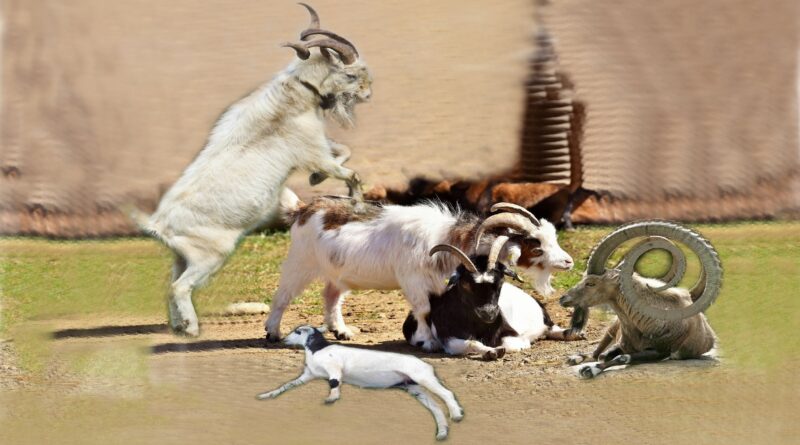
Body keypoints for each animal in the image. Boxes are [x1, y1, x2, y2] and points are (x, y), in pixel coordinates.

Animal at [128, 4, 372, 336]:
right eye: (349, 73)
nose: (368, 92)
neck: (294, 96)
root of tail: (158, 225)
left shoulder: (320, 148)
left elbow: (345, 151)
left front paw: (316, 179)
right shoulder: (314, 151)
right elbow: (349, 171)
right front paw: (353, 200)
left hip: (182, 257)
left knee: (170, 284)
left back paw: (179, 326)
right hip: (210, 256)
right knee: (180, 287)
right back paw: (192, 329)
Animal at [257, 325, 463, 441]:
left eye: (298, 331)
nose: (283, 339)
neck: (317, 349)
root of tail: (425, 363)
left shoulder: (334, 368)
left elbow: (334, 383)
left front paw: (332, 398)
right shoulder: (307, 375)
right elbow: (285, 386)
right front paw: (267, 395)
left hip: (423, 378)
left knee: (447, 394)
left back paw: (456, 414)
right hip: (413, 387)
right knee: (435, 408)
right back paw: (442, 433)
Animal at [265, 199, 575, 350]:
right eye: (535, 244)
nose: (568, 262)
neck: (447, 239)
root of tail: (303, 210)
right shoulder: (413, 280)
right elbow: (424, 310)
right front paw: (428, 341)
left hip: (338, 273)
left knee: (331, 294)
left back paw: (341, 330)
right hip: (300, 262)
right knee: (282, 295)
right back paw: (272, 332)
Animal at [559, 221, 723, 379]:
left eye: (591, 283)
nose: (563, 298)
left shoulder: (660, 351)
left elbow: (621, 357)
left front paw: (589, 370)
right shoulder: (621, 343)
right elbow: (604, 355)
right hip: (612, 328)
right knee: (596, 352)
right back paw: (574, 358)